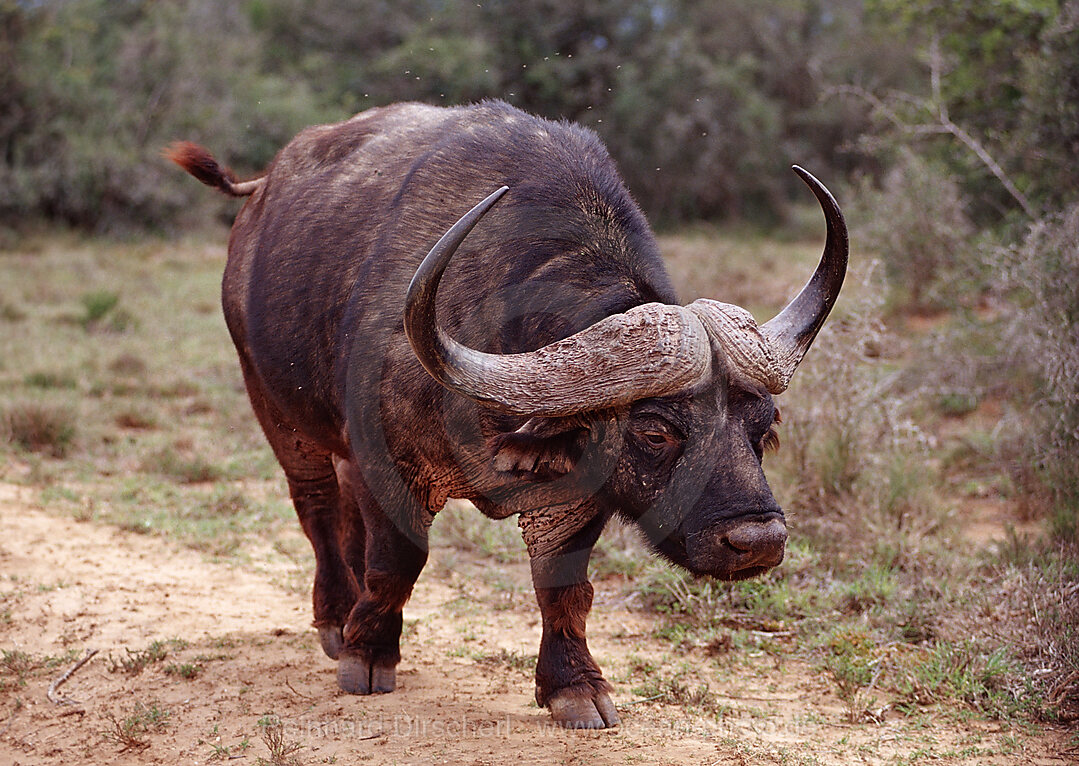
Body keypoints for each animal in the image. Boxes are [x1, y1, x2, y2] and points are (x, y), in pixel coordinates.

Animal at [168, 99, 845, 729]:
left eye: (765, 429)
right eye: (655, 430)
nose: (758, 541)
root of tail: (261, 193)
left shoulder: (574, 495)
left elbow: (564, 588)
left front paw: (574, 687)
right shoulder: (389, 466)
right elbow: (397, 562)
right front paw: (368, 653)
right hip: (276, 408)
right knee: (316, 506)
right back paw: (338, 617)